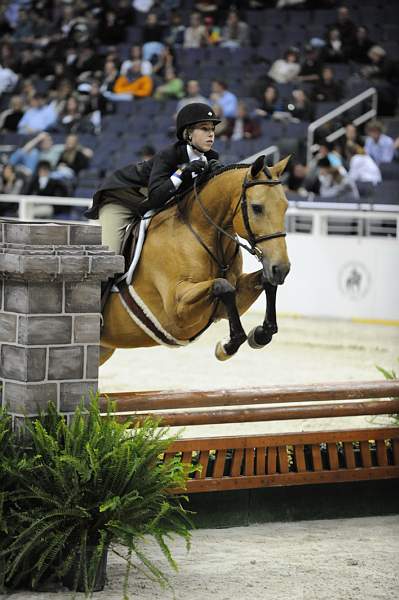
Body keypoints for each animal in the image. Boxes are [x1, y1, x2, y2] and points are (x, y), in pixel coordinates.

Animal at [100, 154, 292, 366]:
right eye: (257, 208)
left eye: (285, 207)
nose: (281, 268)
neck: (205, 233)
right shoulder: (177, 311)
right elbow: (222, 286)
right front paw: (227, 346)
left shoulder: (227, 304)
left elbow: (264, 282)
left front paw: (260, 334)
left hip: (104, 349)